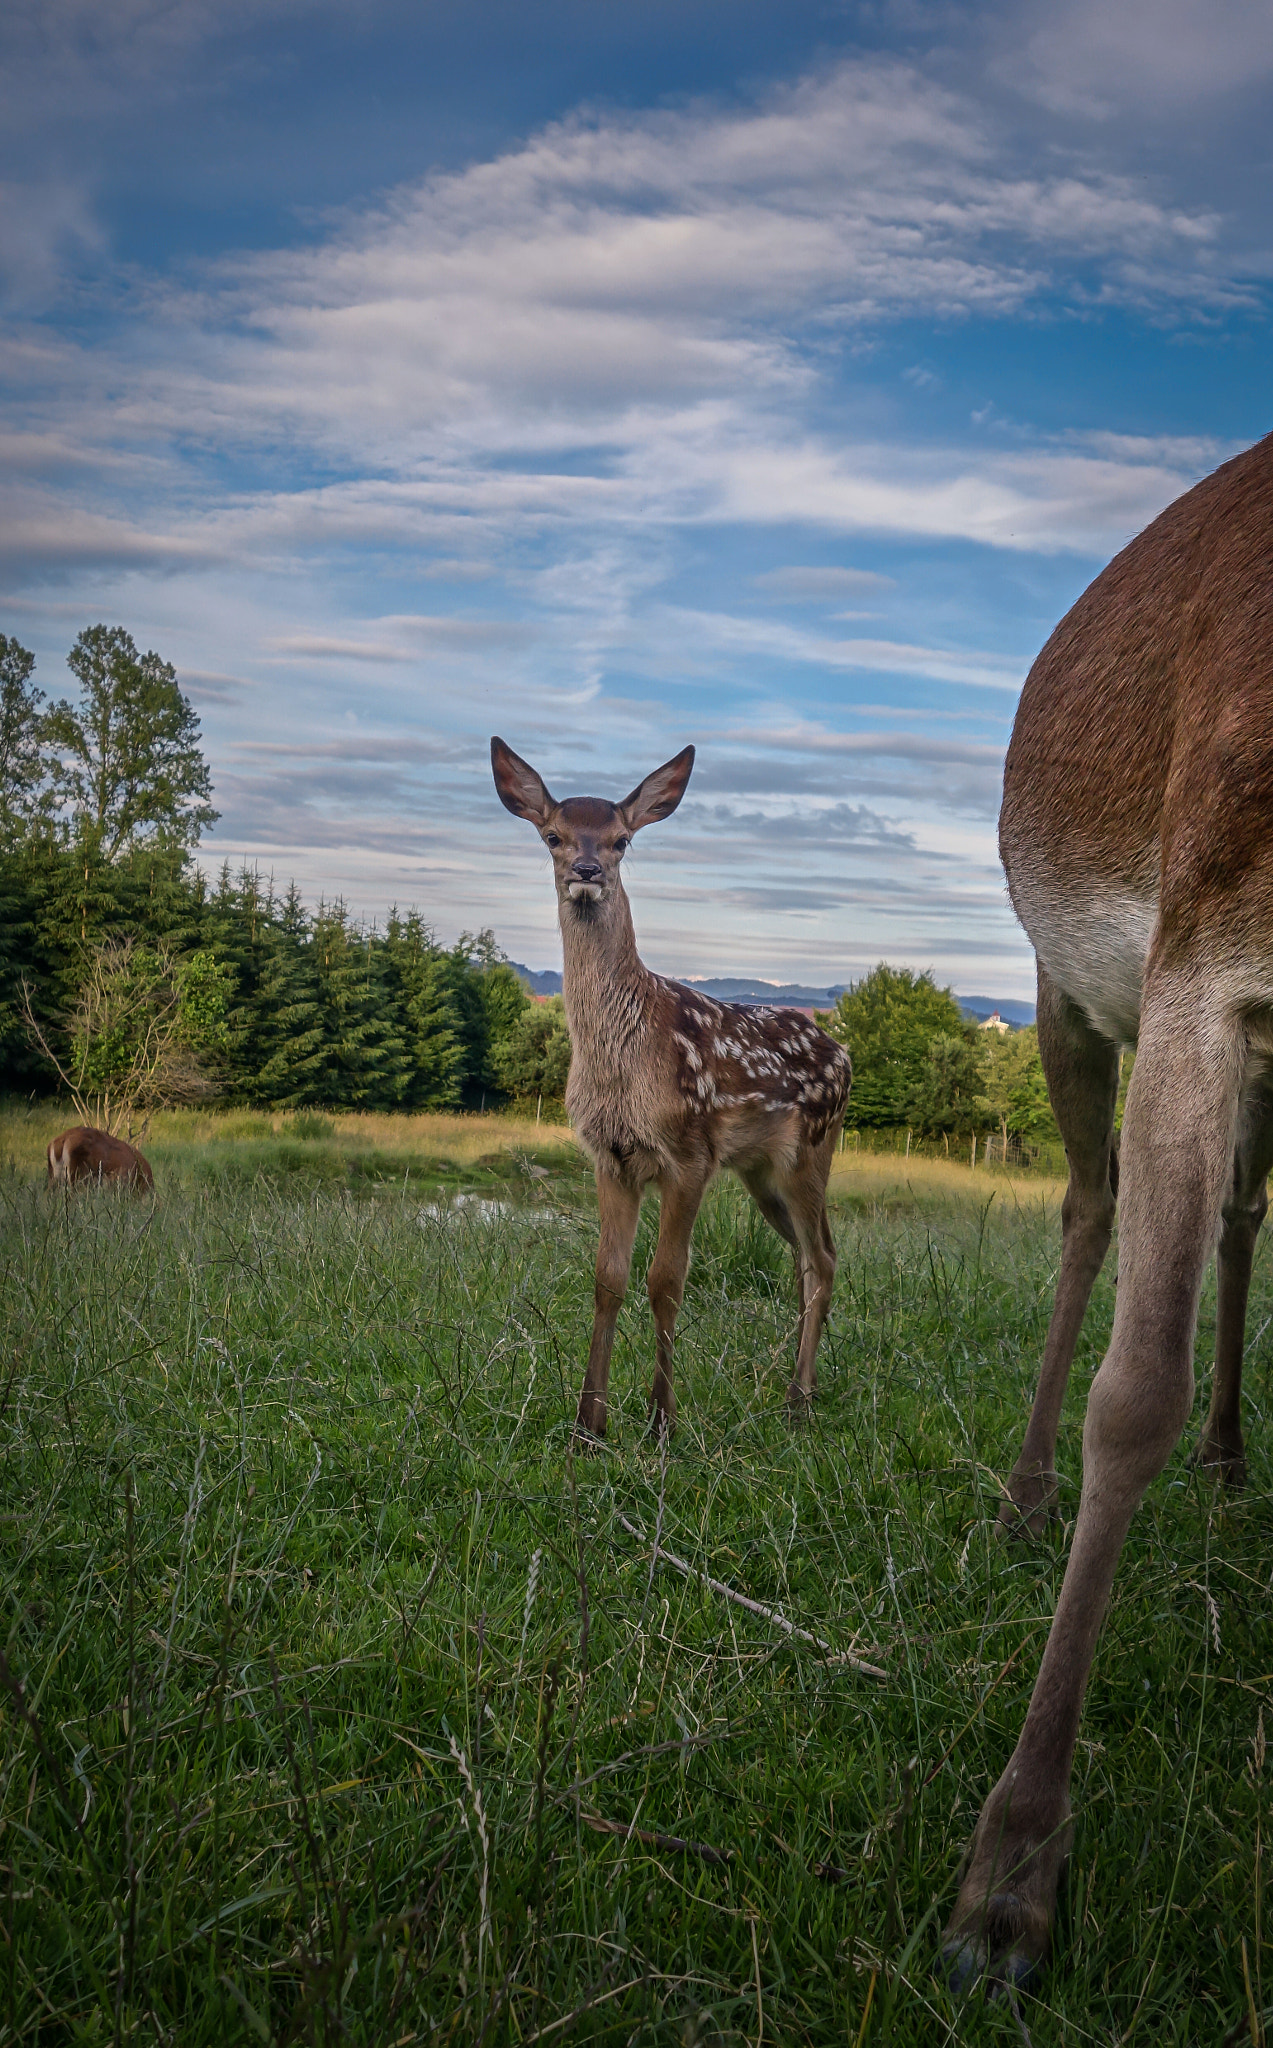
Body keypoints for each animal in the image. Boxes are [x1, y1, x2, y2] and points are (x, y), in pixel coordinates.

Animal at [493, 741, 851, 1441]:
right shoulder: (610, 1155)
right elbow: (607, 1280)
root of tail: (843, 1051)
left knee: (823, 1259)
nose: (586, 870)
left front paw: (661, 1422)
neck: (623, 1057)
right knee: (807, 1258)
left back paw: (797, 1401)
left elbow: (665, 1280)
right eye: (552, 835)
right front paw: (589, 1426)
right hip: (759, 1173)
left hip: (810, 1151)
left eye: (622, 840)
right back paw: (799, 1389)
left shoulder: (689, 1152)